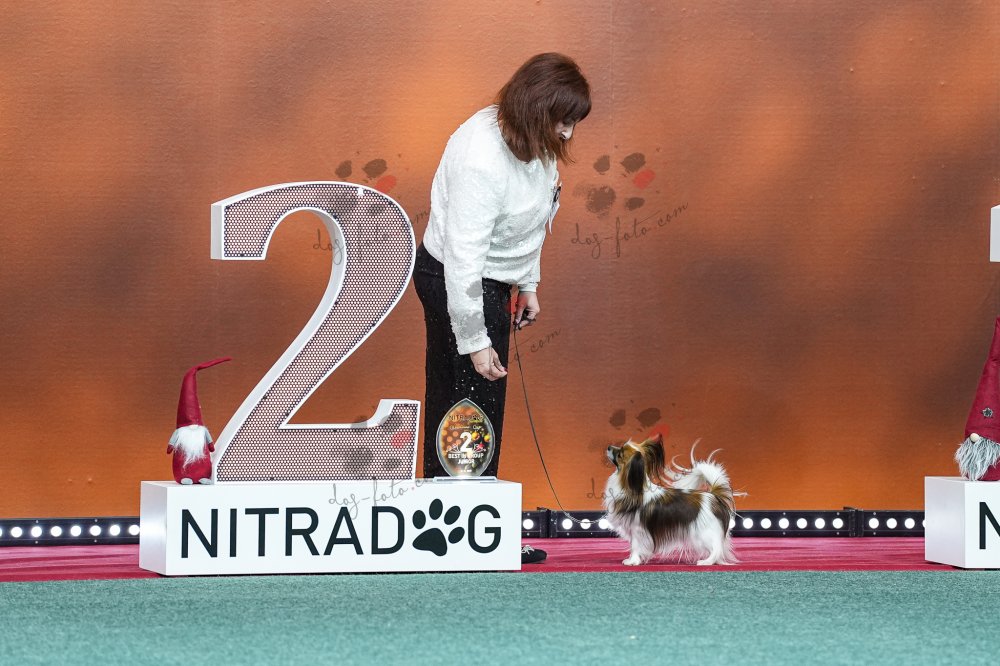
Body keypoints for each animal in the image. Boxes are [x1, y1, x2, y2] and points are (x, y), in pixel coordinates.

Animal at [604, 435, 737, 566]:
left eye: (620, 453)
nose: (609, 447)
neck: (630, 485)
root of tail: (714, 496)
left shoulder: (638, 529)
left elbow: (635, 546)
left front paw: (633, 561)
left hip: (703, 533)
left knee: (717, 549)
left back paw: (706, 562)